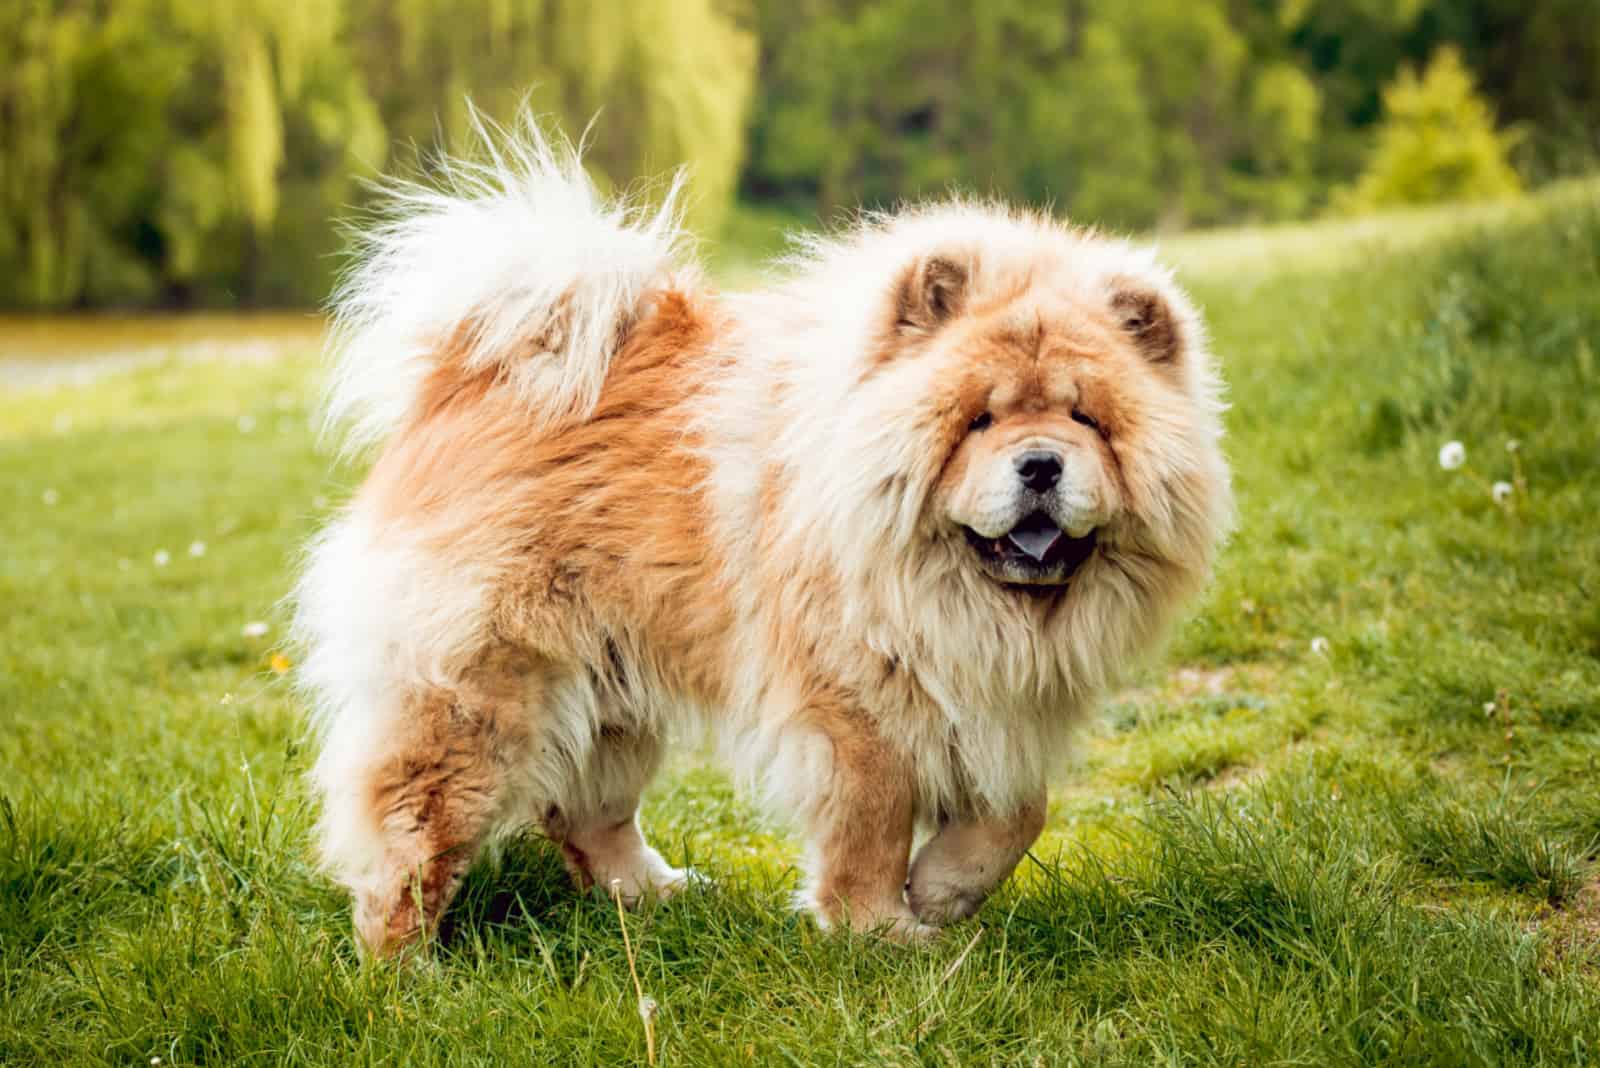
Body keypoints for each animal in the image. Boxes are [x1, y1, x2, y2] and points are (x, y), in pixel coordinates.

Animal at [294, 119, 1228, 959]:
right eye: (979, 421)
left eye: (1086, 420)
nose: (1040, 464)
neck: (953, 591)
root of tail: (470, 372)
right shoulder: (857, 706)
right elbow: (873, 823)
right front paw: (881, 931)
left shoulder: (999, 699)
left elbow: (1018, 814)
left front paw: (942, 892)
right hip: (480, 689)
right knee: (414, 825)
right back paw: (406, 969)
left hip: (608, 684)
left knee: (587, 810)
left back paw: (659, 896)